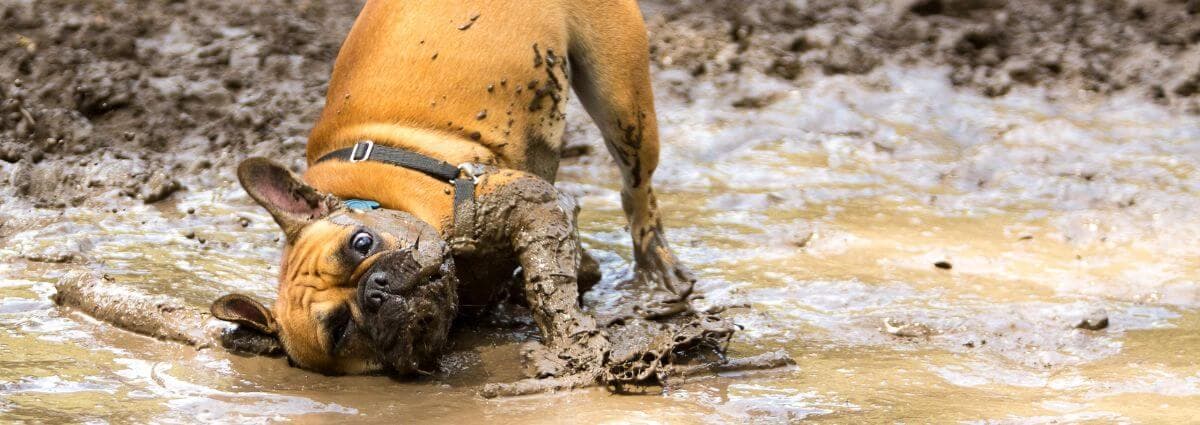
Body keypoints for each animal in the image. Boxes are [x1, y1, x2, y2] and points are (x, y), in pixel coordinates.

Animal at [207, 0, 696, 374]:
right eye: (340, 330)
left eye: (362, 243)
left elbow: (547, 282)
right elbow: (568, 263)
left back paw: (659, 264)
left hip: (621, 101)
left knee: (636, 187)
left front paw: (572, 343)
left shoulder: (530, 203)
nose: (376, 290)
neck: (379, 198)